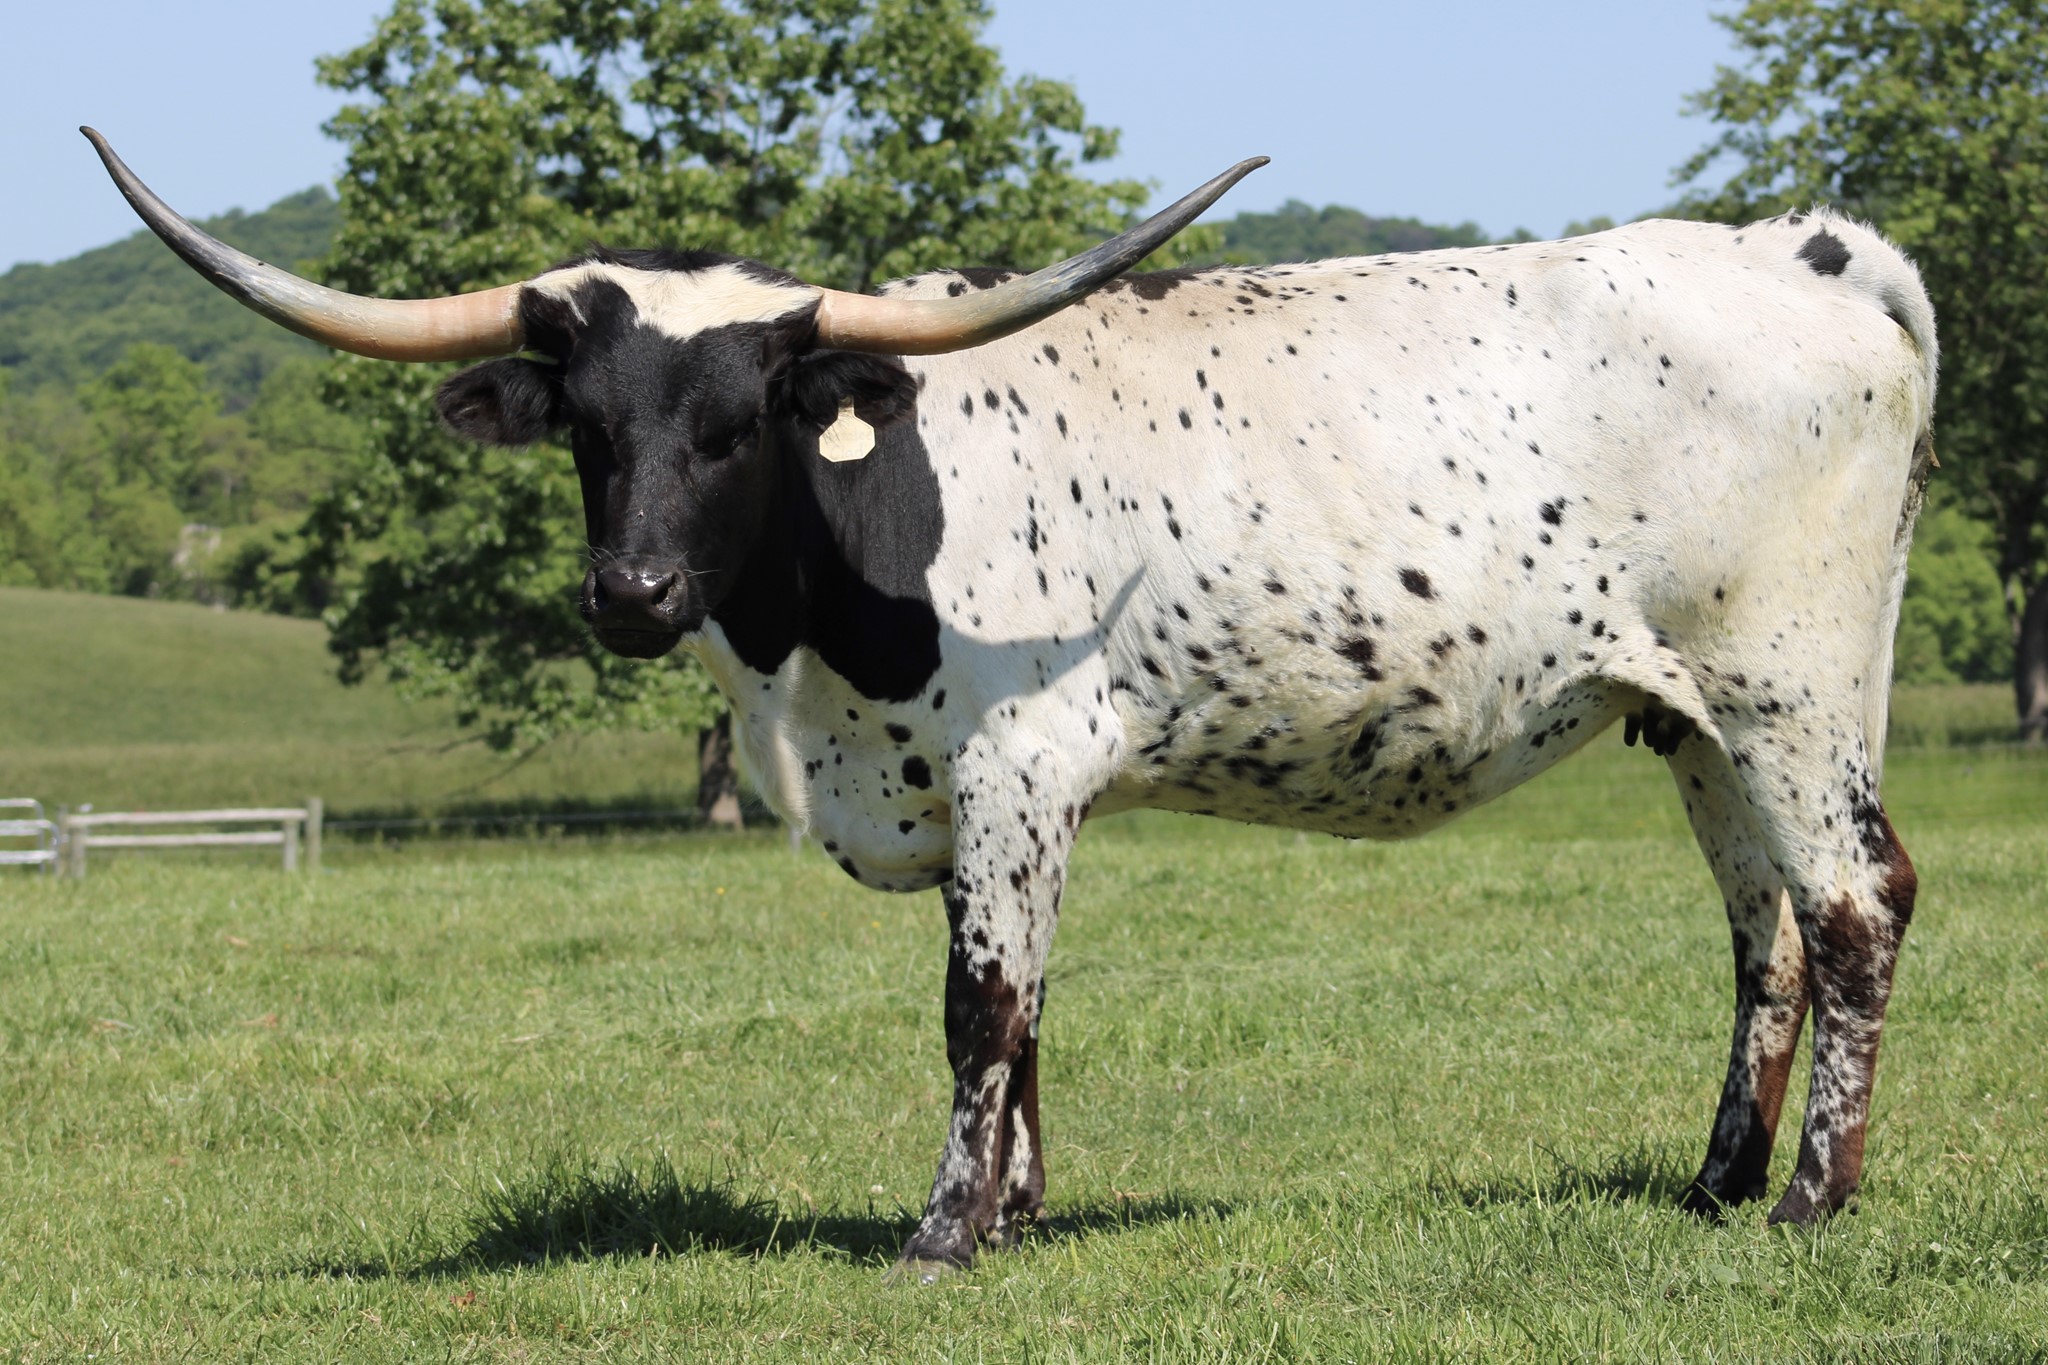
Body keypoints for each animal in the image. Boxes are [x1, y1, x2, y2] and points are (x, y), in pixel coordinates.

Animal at [87, 125, 1936, 1281]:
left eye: (742, 422)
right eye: (588, 429)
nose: (632, 593)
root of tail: (1809, 251)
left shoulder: (1014, 765)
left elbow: (979, 1008)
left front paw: (937, 1236)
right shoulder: (971, 790)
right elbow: (1027, 1001)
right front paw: (1017, 1215)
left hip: (1791, 686)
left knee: (1855, 906)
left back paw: (1808, 1205)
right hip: (1696, 715)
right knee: (1764, 937)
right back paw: (1712, 1183)